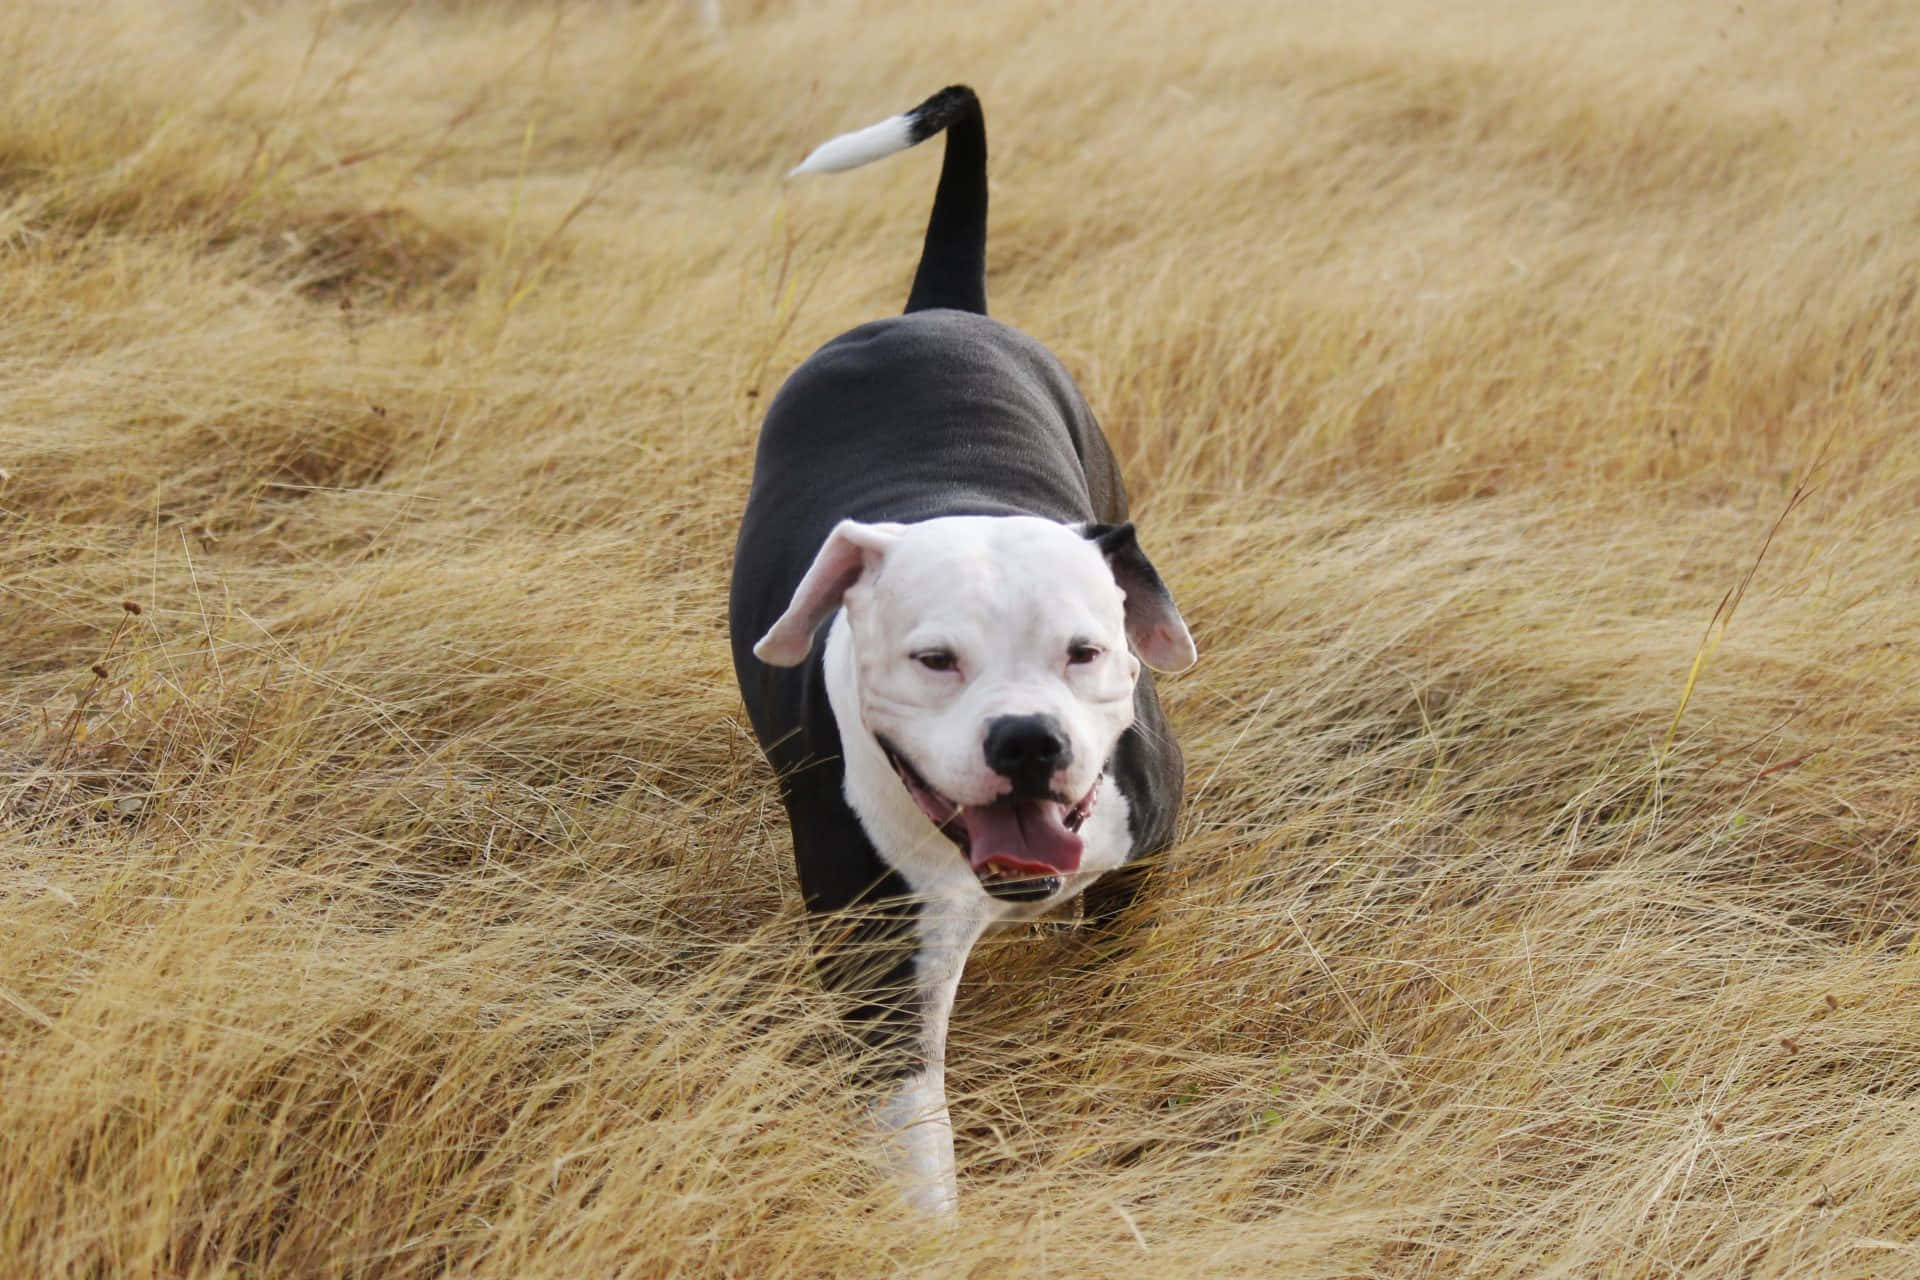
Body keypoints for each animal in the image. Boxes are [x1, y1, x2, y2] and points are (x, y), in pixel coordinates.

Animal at [725, 84, 1190, 1220]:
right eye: (935, 660)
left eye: (1084, 651)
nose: (1028, 740)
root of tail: (932, 309)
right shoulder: (879, 964)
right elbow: (915, 1143)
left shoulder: (1138, 868)